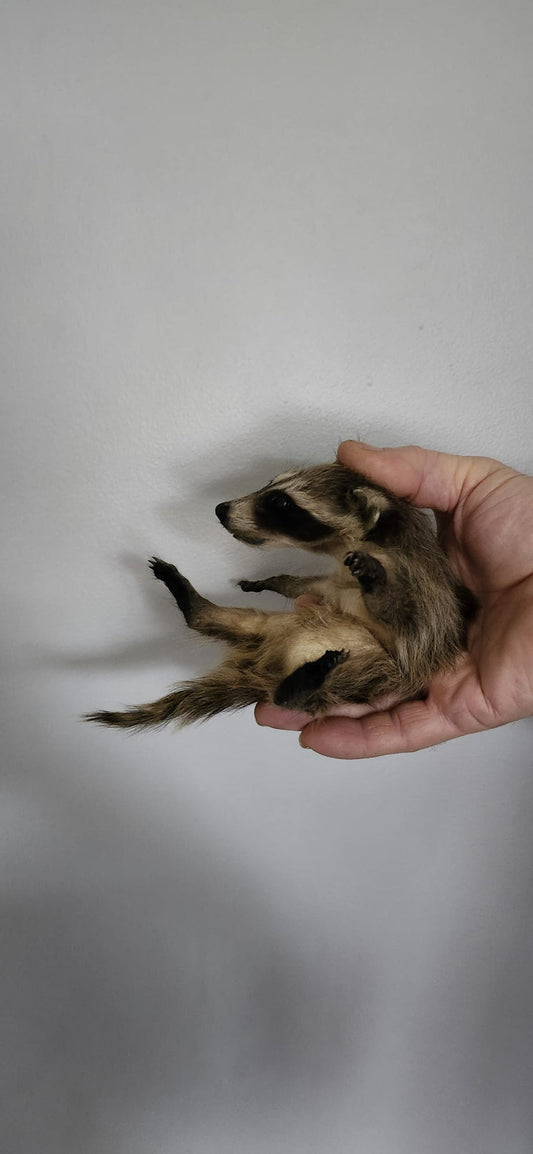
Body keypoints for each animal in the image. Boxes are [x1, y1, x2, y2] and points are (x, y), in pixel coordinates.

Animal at [85, 462, 476, 731]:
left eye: (280, 502)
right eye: (271, 484)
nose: (221, 508)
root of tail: (265, 667)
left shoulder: (421, 596)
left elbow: (402, 613)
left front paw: (374, 579)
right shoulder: (330, 584)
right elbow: (303, 585)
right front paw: (272, 580)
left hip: (371, 671)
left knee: (324, 687)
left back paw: (299, 686)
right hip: (268, 626)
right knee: (212, 619)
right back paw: (190, 599)